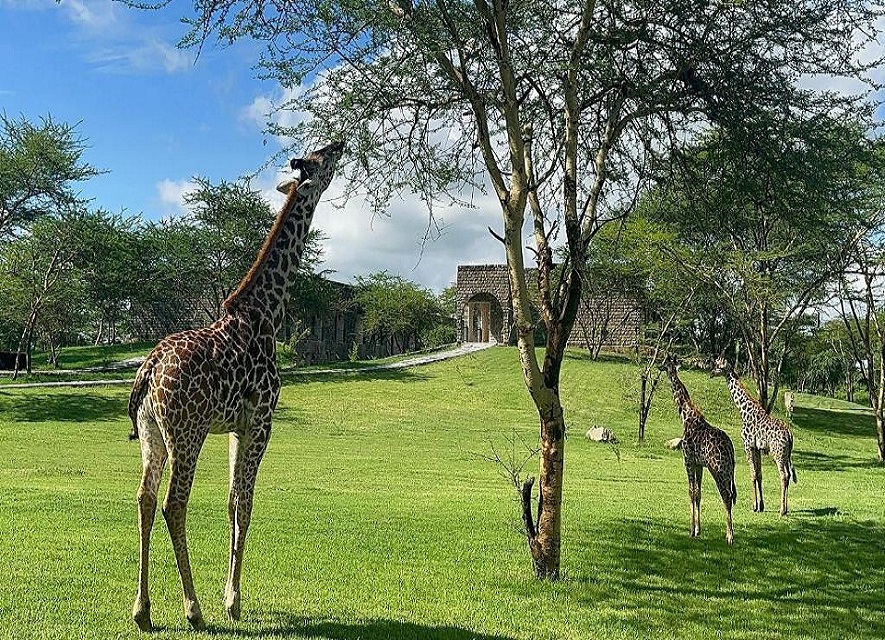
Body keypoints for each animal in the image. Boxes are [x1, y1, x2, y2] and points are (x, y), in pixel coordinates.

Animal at [128, 141, 343, 632]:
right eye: (320, 157)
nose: (342, 144)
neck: (268, 314)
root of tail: (148, 370)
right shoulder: (263, 420)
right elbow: (245, 502)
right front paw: (233, 602)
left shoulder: (235, 427)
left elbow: (230, 502)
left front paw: (231, 594)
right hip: (186, 432)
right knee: (173, 503)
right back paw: (193, 609)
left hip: (152, 432)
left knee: (145, 499)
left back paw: (142, 611)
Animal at [659, 354, 737, 544]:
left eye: (664, 362)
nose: (658, 366)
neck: (685, 416)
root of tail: (731, 450)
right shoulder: (699, 464)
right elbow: (698, 493)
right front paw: (698, 529)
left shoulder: (687, 460)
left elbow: (690, 492)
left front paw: (691, 531)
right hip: (728, 471)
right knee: (730, 495)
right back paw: (729, 533)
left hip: (718, 469)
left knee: (726, 496)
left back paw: (730, 537)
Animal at [711, 356, 797, 516]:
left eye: (718, 366)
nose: (711, 373)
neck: (744, 411)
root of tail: (789, 434)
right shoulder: (757, 448)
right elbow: (759, 474)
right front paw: (761, 506)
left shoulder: (748, 445)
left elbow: (752, 474)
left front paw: (754, 506)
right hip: (786, 454)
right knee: (788, 475)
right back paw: (786, 508)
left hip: (778, 453)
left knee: (784, 475)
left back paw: (781, 510)